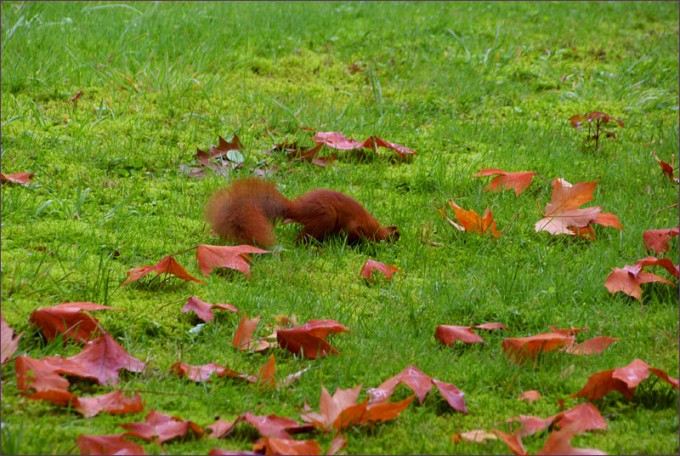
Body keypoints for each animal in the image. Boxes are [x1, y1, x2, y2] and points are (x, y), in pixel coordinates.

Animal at [205, 178, 399, 247]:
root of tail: (297, 209)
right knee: (303, 237)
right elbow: (354, 234)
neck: (373, 227)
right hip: (326, 217)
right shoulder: (355, 226)